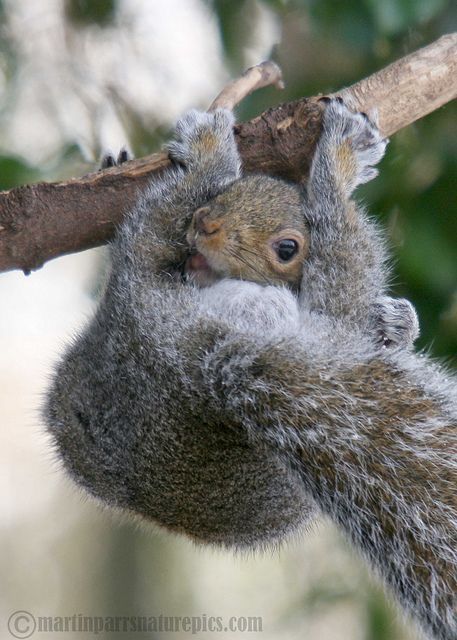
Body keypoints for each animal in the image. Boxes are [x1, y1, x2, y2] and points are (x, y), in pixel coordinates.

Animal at [44, 100, 456, 640]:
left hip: (141, 293)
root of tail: (208, 371)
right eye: (240, 192)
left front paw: (395, 321)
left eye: (286, 249)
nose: (205, 223)